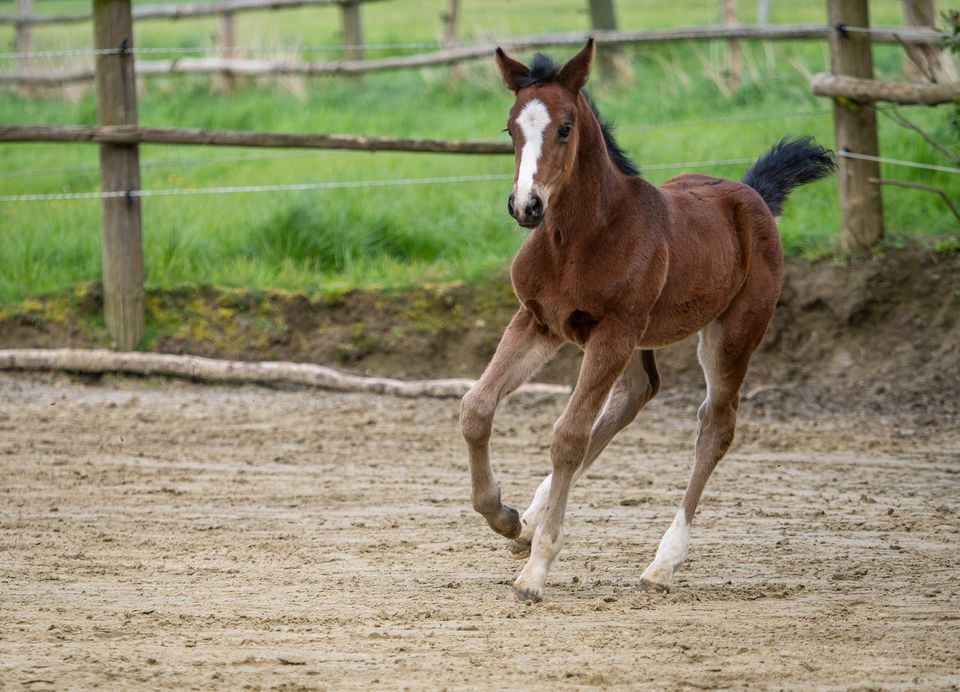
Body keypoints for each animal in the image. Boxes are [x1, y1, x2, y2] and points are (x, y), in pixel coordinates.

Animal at [462, 40, 836, 604]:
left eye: (565, 127)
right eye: (510, 129)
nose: (527, 206)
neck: (575, 239)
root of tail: (751, 193)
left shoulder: (612, 332)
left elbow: (568, 435)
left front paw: (537, 569)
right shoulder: (538, 322)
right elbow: (477, 407)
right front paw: (504, 516)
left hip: (731, 332)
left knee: (715, 425)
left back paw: (662, 563)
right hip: (639, 336)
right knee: (637, 392)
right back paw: (528, 521)